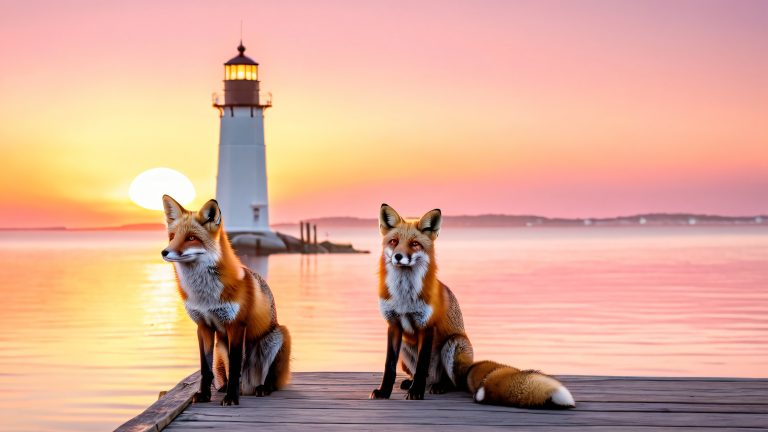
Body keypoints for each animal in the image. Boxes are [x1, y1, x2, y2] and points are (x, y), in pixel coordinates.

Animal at [161, 195, 290, 406]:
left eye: (191, 238)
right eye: (172, 237)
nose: (164, 252)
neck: (205, 296)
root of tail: (249, 387)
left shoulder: (236, 324)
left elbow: (236, 365)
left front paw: (231, 398)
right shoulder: (203, 326)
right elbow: (205, 369)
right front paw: (204, 395)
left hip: (278, 336)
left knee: (270, 379)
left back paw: (260, 388)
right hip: (220, 347)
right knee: (223, 375)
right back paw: (224, 388)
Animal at [369, 204, 575, 408]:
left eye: (414, 244)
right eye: (394, 241)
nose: (398, 256)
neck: (404, 297)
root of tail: (470, 367)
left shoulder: (426, 326)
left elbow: (421, 366)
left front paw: (416, 393)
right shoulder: (393, 325)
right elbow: (389, 366)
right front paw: (384, 392)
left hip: (454, 343)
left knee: (453, 382)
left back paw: (438, 386)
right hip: (406, 348)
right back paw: (412, 383)